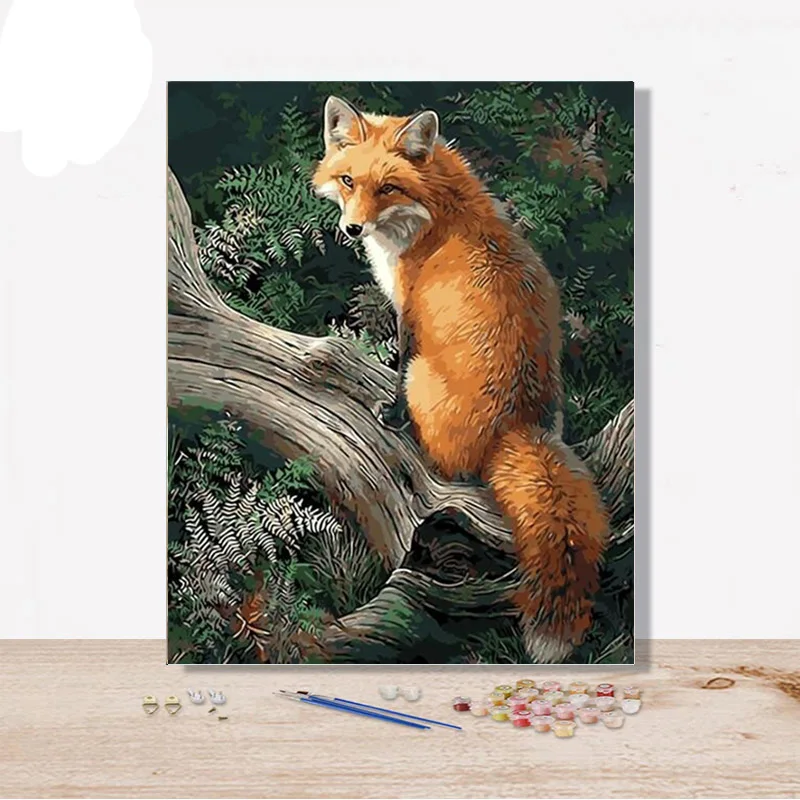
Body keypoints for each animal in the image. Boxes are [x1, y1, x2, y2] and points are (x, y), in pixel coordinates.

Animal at [312, 96, 610, 662]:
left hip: (425, 379)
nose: (352, 230)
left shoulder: (409, 312)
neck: (438, 211)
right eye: (348, 181)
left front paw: (391, 414)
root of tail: (517, 427)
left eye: (387, 187)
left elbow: (397, 365)